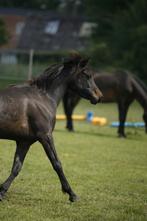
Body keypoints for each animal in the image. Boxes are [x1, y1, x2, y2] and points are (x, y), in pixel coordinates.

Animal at [0, 54, 103, 201]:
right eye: (87, 75)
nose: (99, 97)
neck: (43, 98)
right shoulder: (46, 137)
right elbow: (57, 164)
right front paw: (71, 194)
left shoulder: (24, 142)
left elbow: (16, 167)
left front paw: (2, 191)